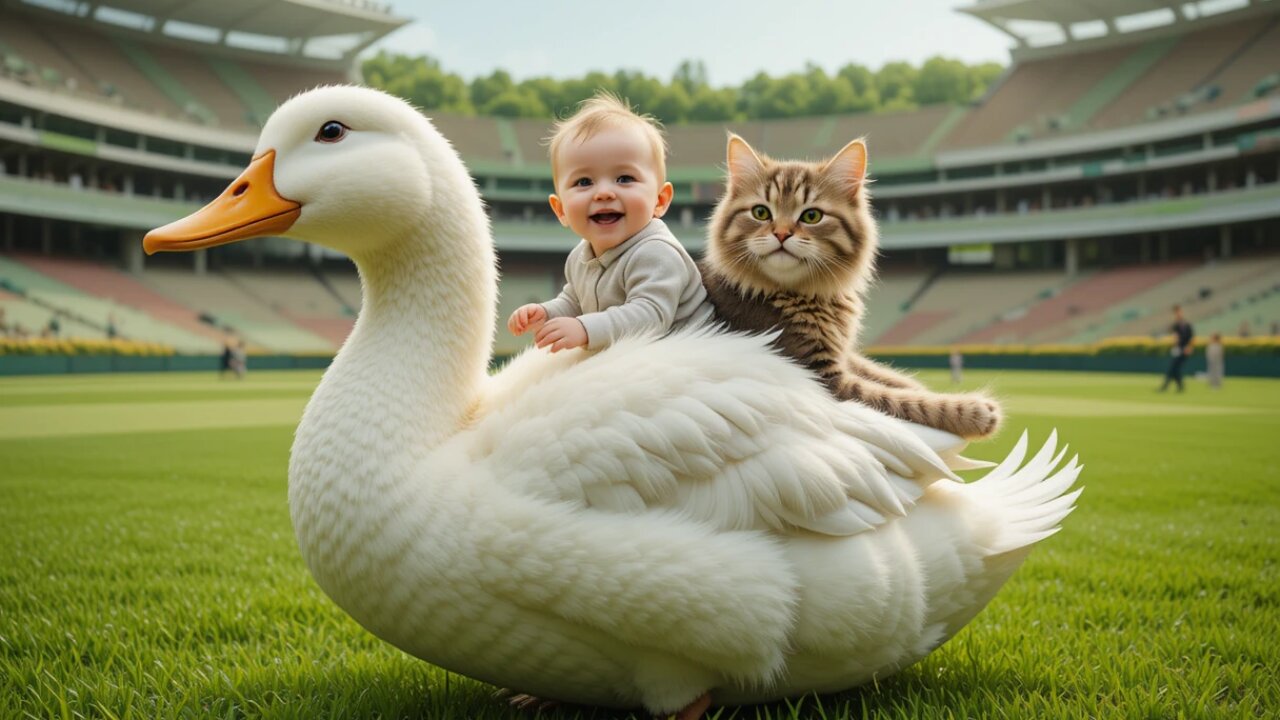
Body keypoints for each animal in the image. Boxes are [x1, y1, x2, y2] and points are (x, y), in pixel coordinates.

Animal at [701, 133, 998, 438]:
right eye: (761, 213)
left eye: (811, 216)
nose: (781, 234)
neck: (806, 296)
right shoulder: (821, 377)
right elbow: (901, 400)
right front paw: (972, 410)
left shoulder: (843, 356)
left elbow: (886, 376)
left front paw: (919, 386)